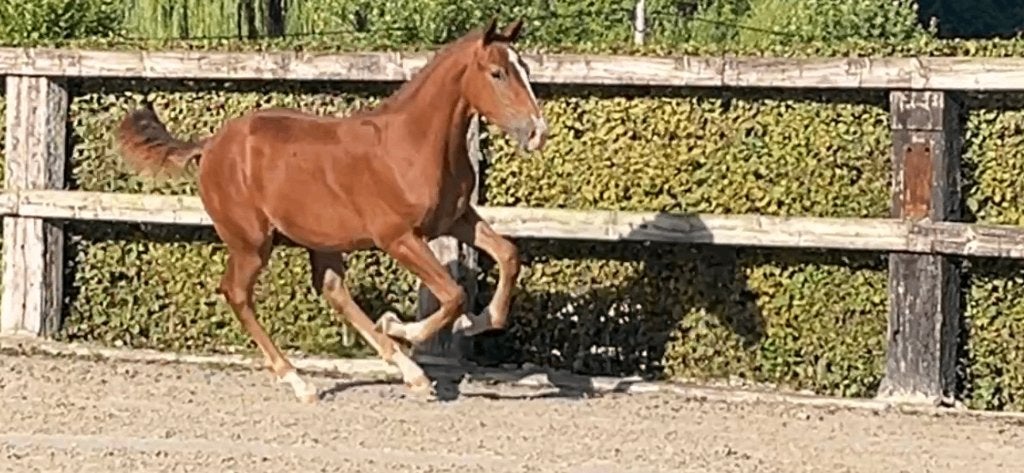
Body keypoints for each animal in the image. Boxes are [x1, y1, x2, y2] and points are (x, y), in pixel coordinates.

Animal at [114, 18, 548, 403]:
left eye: (524, 69)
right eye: (497, 73)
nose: (537, 133)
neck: (414, 143)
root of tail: (210, 145)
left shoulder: (456, 219)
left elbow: (508, 256)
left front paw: (475, 323)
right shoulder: (398, 237)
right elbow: (453, 293)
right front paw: (402, 326)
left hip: (320, 240)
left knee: (332, 290)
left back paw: (409, 372)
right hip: (252, 243)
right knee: (237, 293)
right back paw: (299, 381)